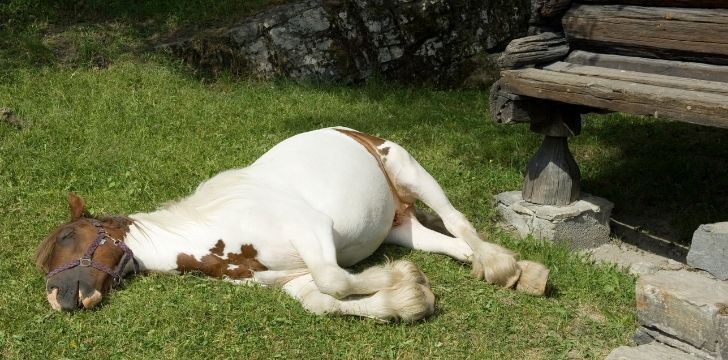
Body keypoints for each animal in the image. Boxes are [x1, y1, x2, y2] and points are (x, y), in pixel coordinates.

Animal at [32, 126, 544, 320]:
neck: (215, 232)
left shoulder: (312, 232)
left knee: (459, 223)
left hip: (410, 170)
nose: (59, 298)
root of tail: (348, 131)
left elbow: (336, 280)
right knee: (453, 245)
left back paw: (507, 269)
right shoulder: (286, 279)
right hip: (401, 228)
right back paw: (523, 273)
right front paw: (407, 298)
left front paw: (403, 280)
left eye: (67, 236)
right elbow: (323, 301)